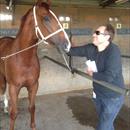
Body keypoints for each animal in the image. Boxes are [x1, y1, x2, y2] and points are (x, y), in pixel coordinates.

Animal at [0, 1, 70, 130]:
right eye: (46, 18)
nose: (67, 45)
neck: (23, 59)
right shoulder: (14, 88)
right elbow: (14, 113)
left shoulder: (34, 86)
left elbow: (32, 108)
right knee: (2, 90)